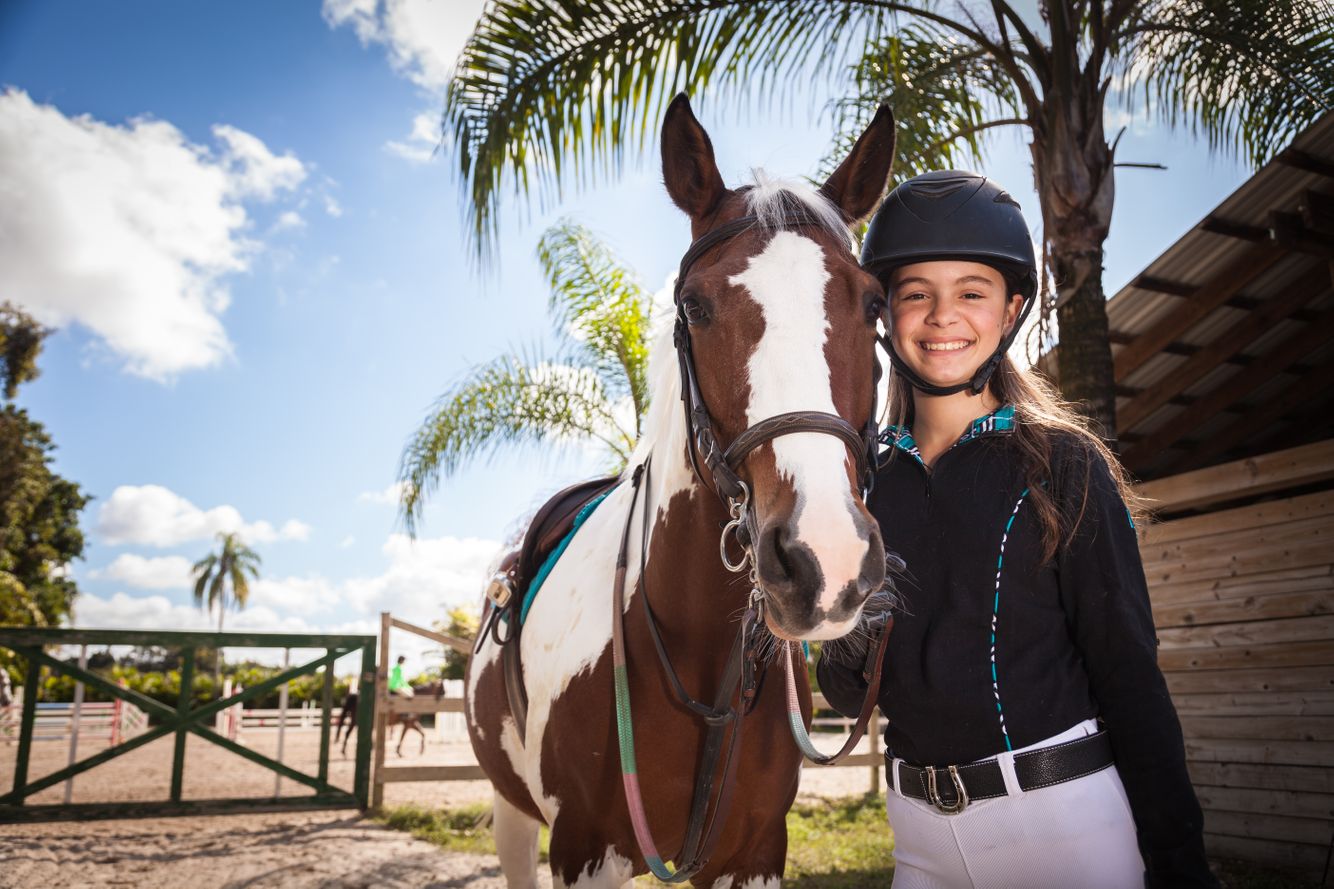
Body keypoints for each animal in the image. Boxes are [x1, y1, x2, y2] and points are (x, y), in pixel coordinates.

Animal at [465, 94, 896, 887]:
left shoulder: (756, 851)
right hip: (512, 814)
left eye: (874, 304)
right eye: (694, 307)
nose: (824, 558)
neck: (699, 654)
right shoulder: (582, 849)